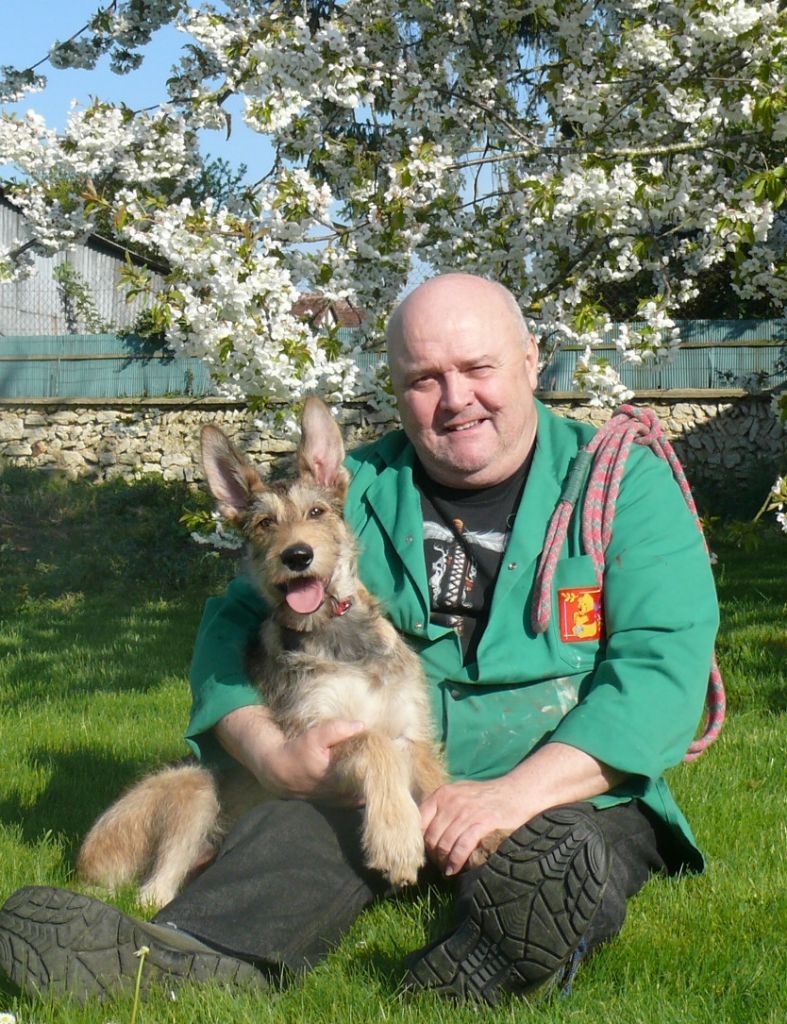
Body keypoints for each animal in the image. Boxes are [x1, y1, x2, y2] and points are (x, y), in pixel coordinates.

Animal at [79, 395, 450, 909]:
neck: (338, 636)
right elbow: (371, 743)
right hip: (192, 786)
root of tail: (83, 864)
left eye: (317, 511)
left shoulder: (412, 730)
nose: (297, 556)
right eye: (264, 523)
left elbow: (436, 779)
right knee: (153, 895)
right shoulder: (316, 733)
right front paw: (396, 837)